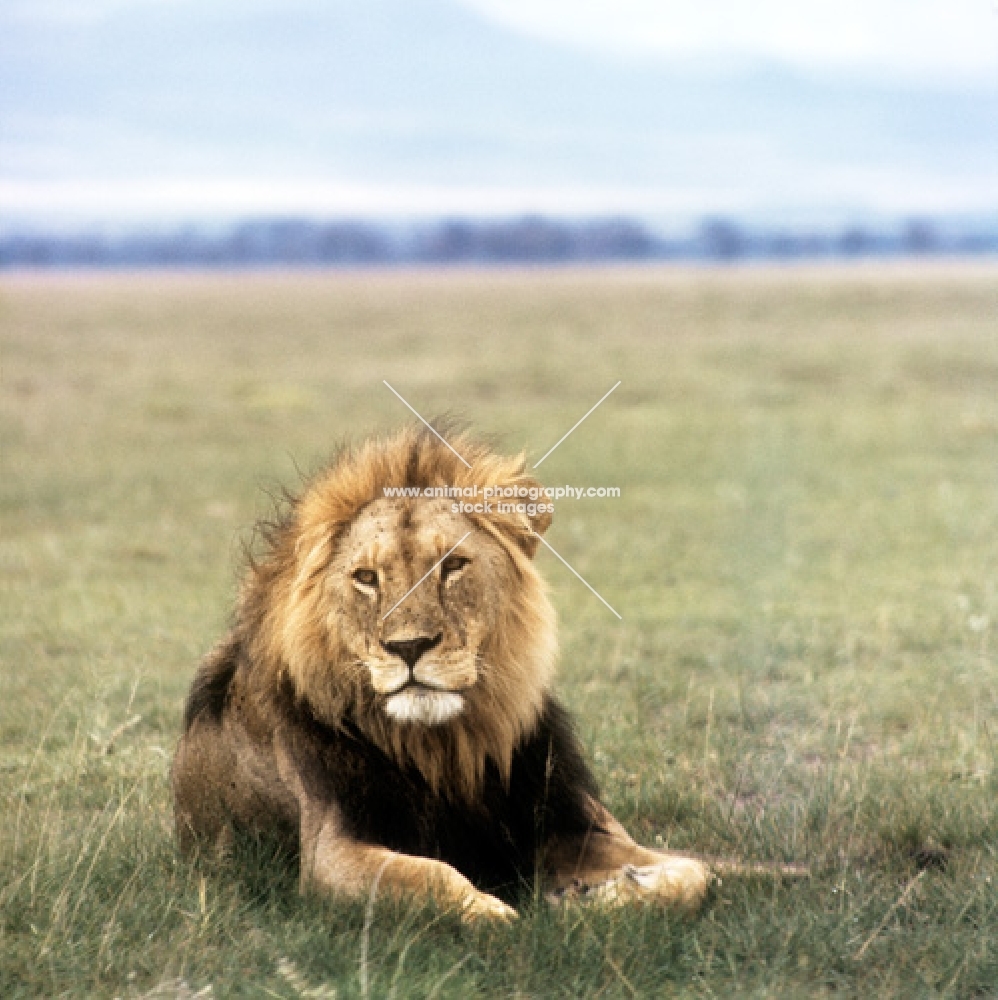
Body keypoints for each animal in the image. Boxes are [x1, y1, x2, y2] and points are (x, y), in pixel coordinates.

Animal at [174, 426, 744, 916]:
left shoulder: (568, 821)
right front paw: (496, 912)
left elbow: (697, 873)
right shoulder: (329, 851)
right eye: (366, 578)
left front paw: (597, 896)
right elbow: (427, 876)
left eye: (451, 566)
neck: (448, 747)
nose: (409, 647)